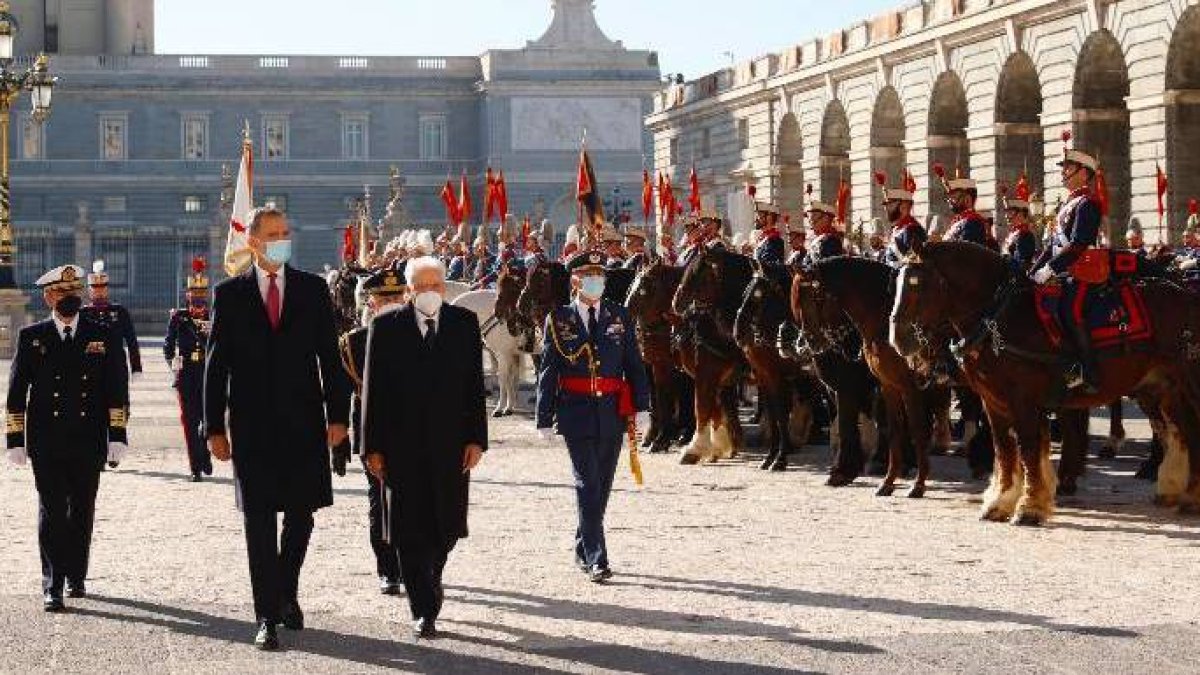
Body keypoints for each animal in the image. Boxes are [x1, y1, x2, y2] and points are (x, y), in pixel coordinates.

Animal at [628, 257, 696, 451]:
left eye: (644, 288)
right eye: (632, 284)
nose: (625, 310)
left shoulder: (667, 365)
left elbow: (666, 398)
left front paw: (662, 438)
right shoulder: (652, 365)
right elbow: (656, 399)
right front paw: (655, 436)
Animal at [672, 246, 753, 461]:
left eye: (697, 273)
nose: (676, 301)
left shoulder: (706, 374)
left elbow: (701, 408)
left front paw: (694, 449)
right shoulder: (718, 378)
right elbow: (715, 410)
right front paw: (718, 446)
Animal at [734, 265, 820, 470]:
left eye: (758, 296)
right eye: (745, 291)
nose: (737, 332)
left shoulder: (781, 378)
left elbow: (781, 415)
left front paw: (780, 458)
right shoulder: (765, 377)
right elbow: (773, 415)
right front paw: (771, 455)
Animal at [792, 254, 950, 497]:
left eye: (812, 298)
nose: (809, 343)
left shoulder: (906, 387)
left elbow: (916, 428)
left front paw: (918, 484)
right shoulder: (887, 385)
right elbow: (893, 428)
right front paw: (887, 481)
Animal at [888, 239, 1200, 523]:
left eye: (917, 284)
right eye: (897, 283)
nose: (897, 339)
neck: (1000, 316)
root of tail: (1187, 293)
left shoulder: (1023, 399)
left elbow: (1027, 448)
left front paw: (1029, 507)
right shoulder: (993, 401)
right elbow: (1005, 449)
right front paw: (1000, 502)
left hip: (1187, 384)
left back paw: (1188, 497)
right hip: (1162, 390)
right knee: (1182, 431)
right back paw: (1181, 492)